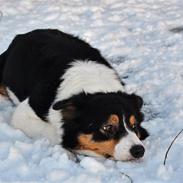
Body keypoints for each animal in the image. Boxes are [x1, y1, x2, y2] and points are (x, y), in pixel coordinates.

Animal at [0, 29, 149, 161]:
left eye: (134, 125)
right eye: (107, 127)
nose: (139, 150)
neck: (95, 85)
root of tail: (22, 35)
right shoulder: (24, 113)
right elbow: (58, 134)